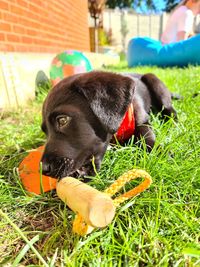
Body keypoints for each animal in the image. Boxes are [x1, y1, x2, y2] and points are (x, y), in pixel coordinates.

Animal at [40, 71, 177, 180]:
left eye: (63, 120)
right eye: (45, 132)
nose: (44, 170)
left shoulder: (143, 121)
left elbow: (147, 137)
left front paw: (161, 152)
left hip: (155, 82)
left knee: (170, 109)